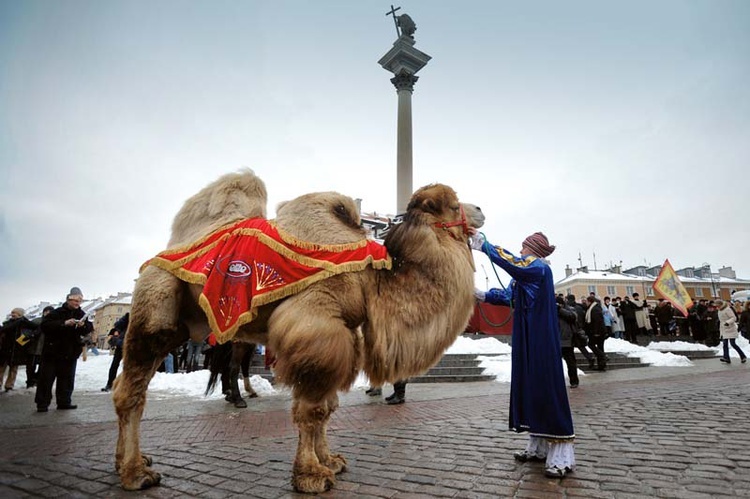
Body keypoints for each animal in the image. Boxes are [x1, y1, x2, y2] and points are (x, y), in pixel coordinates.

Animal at [113, 170, 488, 494]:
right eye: (453, 205)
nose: (480, 210)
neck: (374, 278)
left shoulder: (343, 333)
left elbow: (329, 406)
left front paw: (329, 461)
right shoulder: (317, 325)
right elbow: (313, 409)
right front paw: (310, 476)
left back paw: (129, 462)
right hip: (157, 307)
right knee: (130, 390)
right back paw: (135, 473)